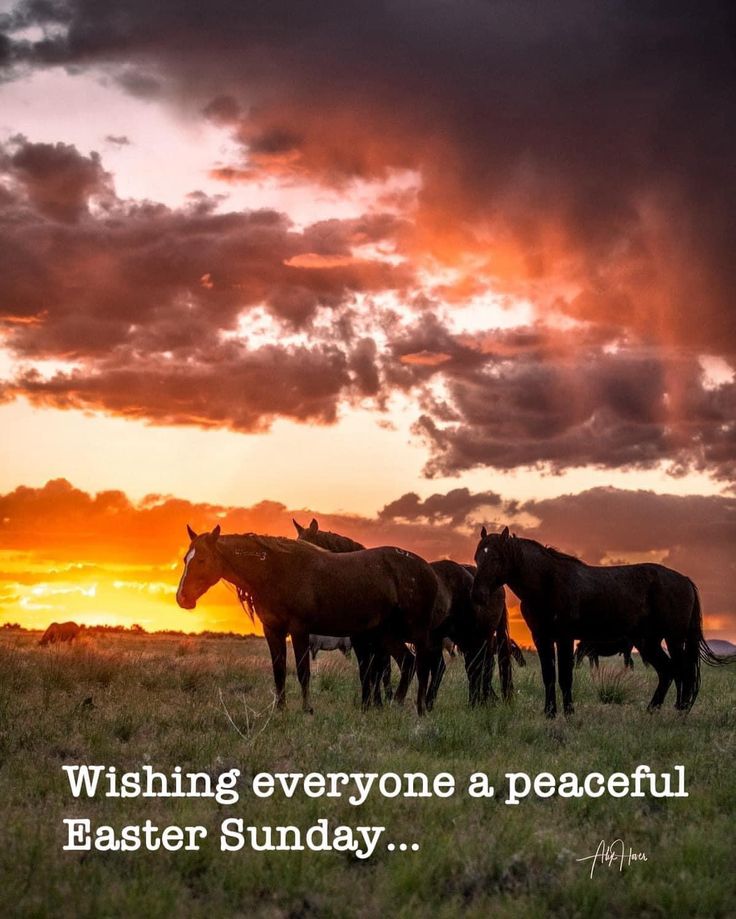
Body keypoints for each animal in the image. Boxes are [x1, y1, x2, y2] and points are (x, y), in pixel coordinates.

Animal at [180, 528, 454, 716]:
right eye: (186, 559)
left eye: (202, 559)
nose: (182, 597)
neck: (277, 571)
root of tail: (428, 571)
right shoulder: (273, 630)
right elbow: (279, 670)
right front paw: (280, 708)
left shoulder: (300, 630)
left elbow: (304, 671)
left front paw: (306, 709)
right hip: (386, 635)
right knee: (408, 662)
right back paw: (398, 704)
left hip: (416, 633)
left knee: (423, 666)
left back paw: (419, 708)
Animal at [290, 516, 516, 704]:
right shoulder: (367, 640)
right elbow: (373, 671)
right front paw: (376, 702)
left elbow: (377, 671)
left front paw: (379, 702)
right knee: (460, 667)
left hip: (472, 636)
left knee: (479, 666)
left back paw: (474, 702)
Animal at [472, 524, 736, 720]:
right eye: (477, 558)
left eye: (496, 557)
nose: (479, 595)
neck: (548, 583)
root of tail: (685, 580)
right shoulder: (542, 638)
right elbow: (549, 675)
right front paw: (550, 713)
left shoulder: (565, 637)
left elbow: (564, 676)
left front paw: (568, 713)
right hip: (648, 641)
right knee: (668, 671)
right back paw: (654, 710)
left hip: (673, 638)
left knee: (682, 672)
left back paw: (679, 712)